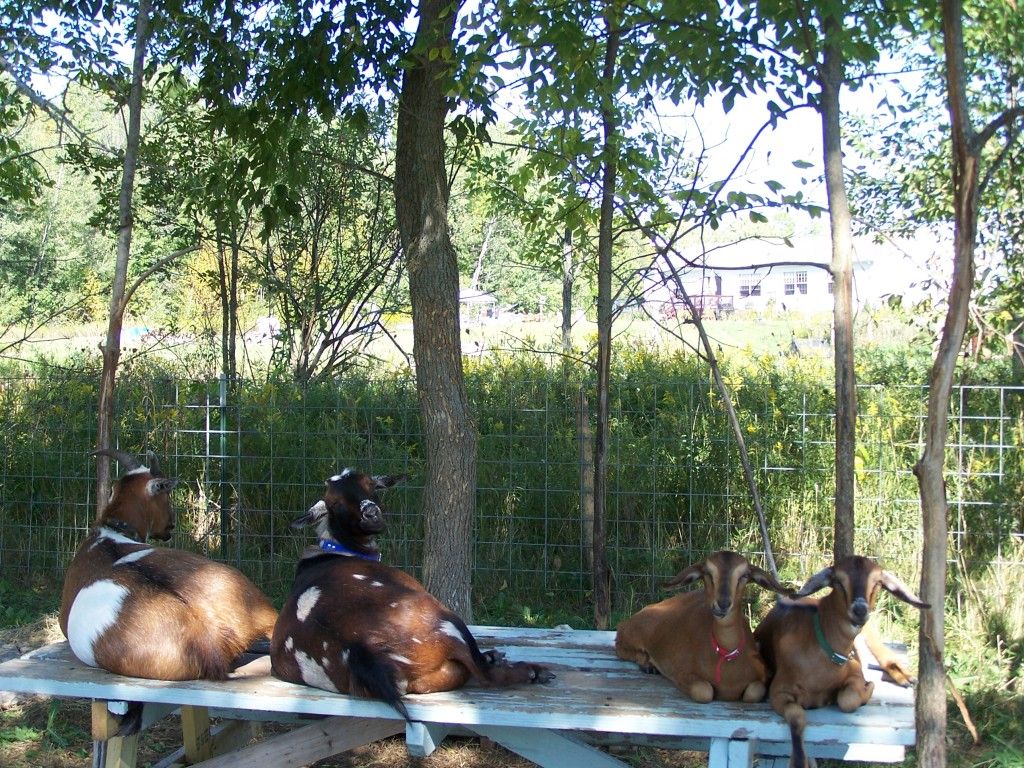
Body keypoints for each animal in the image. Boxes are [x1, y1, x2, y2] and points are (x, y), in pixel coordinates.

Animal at [270, 469, 554, 720]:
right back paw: (533, 672)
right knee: (486, 674)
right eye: (335, 502)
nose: (371, 514)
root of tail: (365, 651)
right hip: (447, 619)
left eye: (371, 486)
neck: (336, 552)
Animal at [614, 550, 791, 703]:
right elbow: (703, 691)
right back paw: (647, 664)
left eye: (745, 575)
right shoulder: (683, 673)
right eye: (708, 573)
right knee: (620, 646)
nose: (723, 604)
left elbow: (754, 692)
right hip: (632, 632)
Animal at [753, 555, 929, 768]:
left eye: (878, 582)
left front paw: (867, 688)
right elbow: (797, 717)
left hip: (870, 633)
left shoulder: (854, 672)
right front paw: (800, 761)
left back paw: (905, 677)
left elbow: (848, 700)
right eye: (838, 580)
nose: (859, 610)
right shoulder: (779, 690)